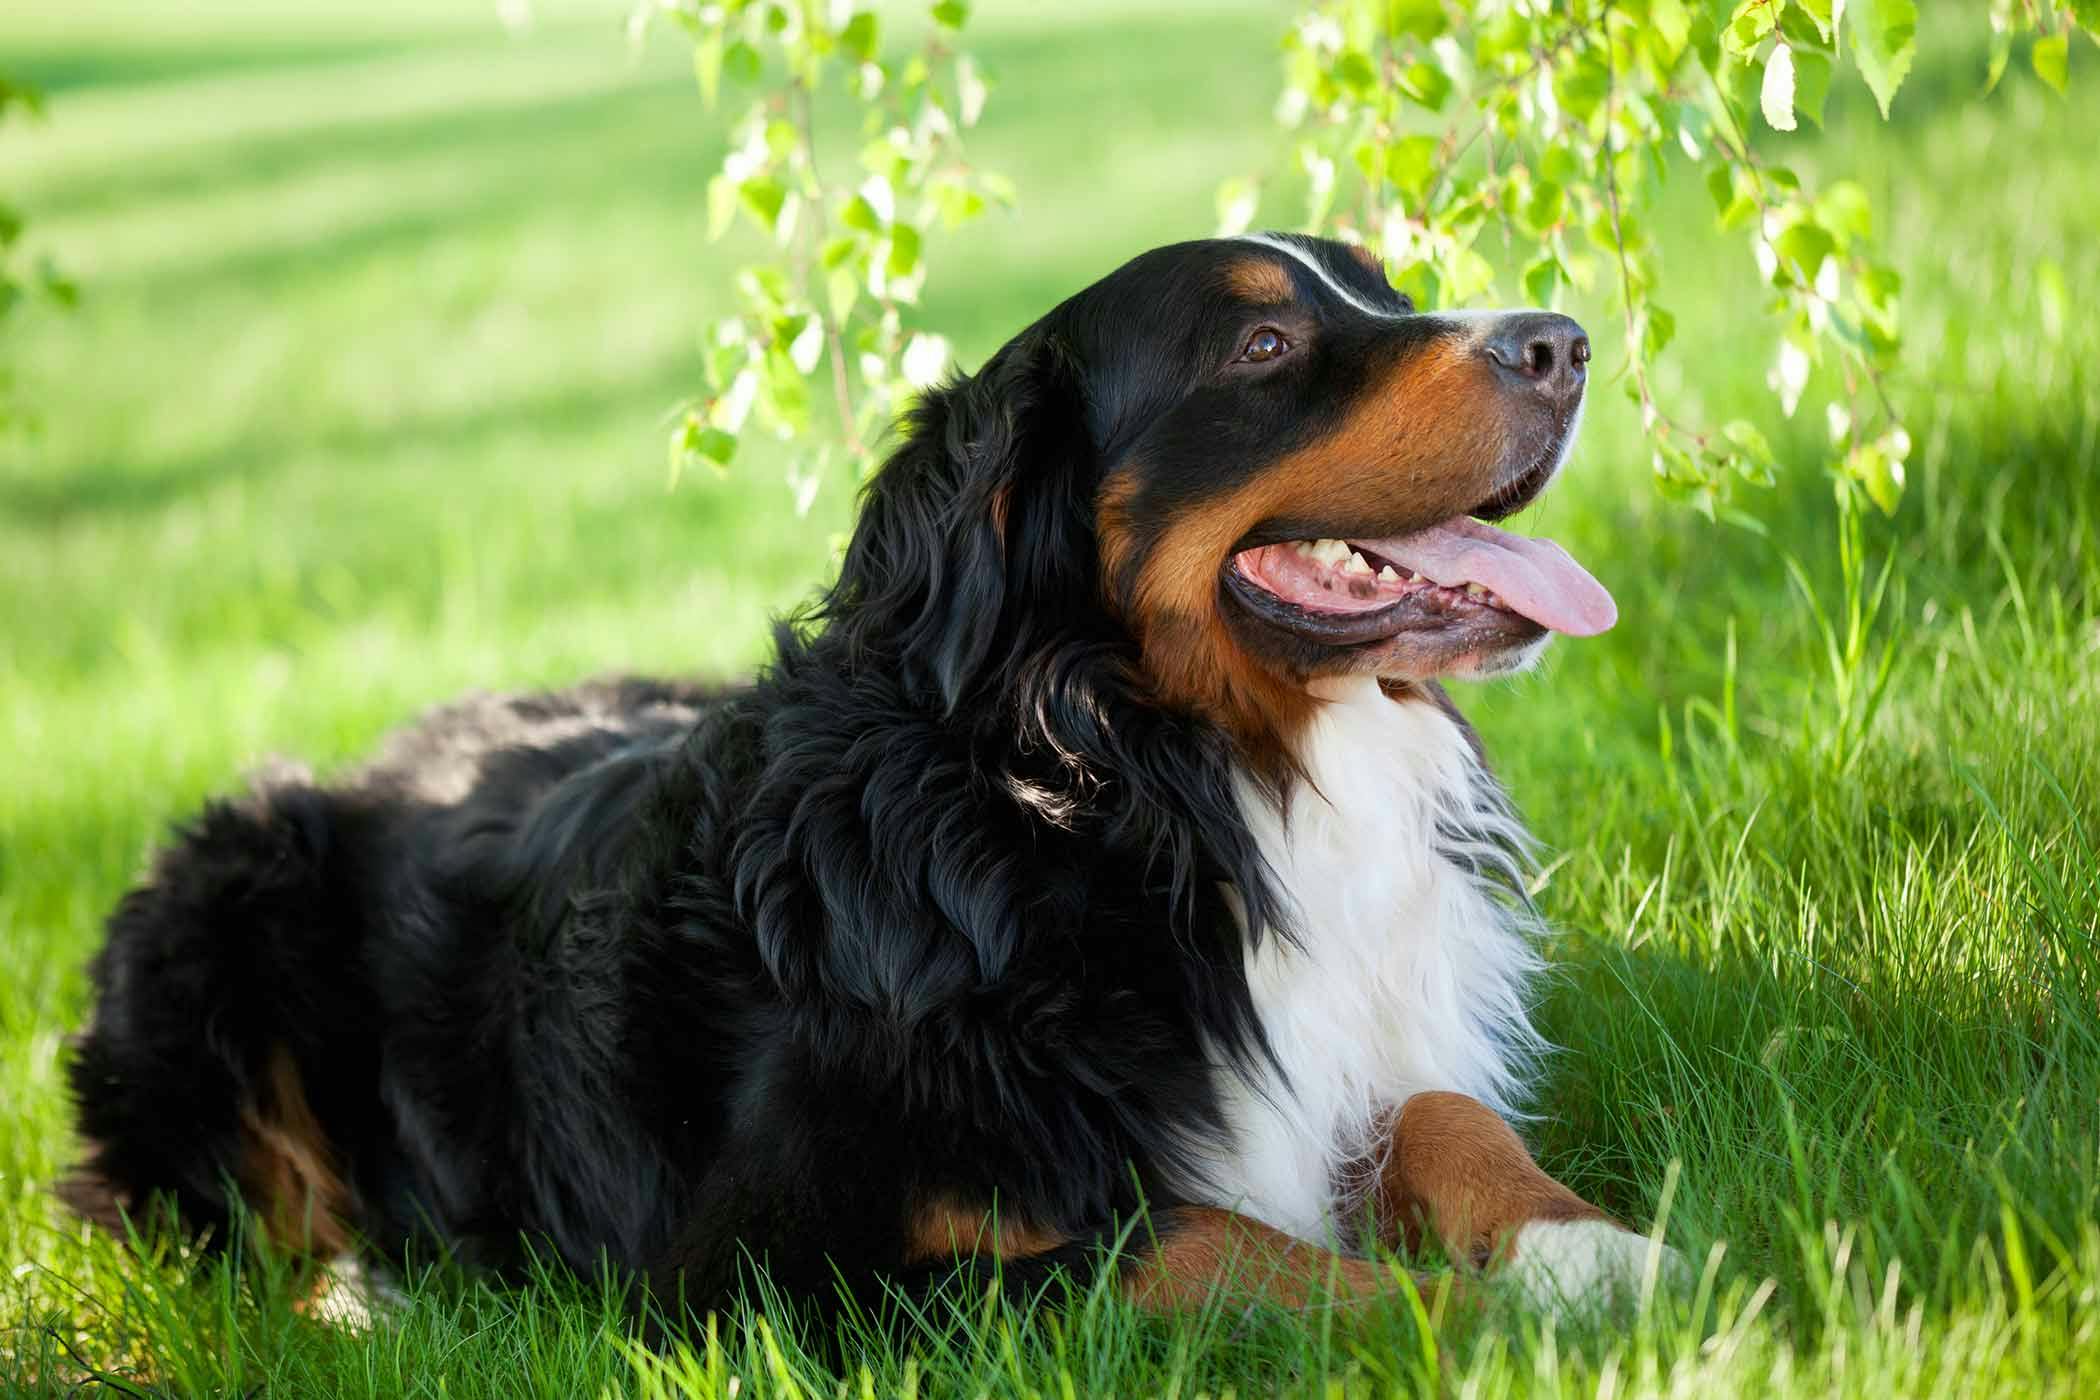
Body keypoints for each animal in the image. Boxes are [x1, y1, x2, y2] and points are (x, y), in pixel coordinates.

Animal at [65, 235, 1663, 1334]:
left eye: (1387, 287)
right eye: (1265, 342)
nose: (1563, 340)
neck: (1128, 793)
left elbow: (1439, 1112)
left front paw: (1592, 1249)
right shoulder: (782, 1272)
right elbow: (1187, 1240)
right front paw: (1483, 1324)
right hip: (215, 899)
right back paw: (368, 1296)